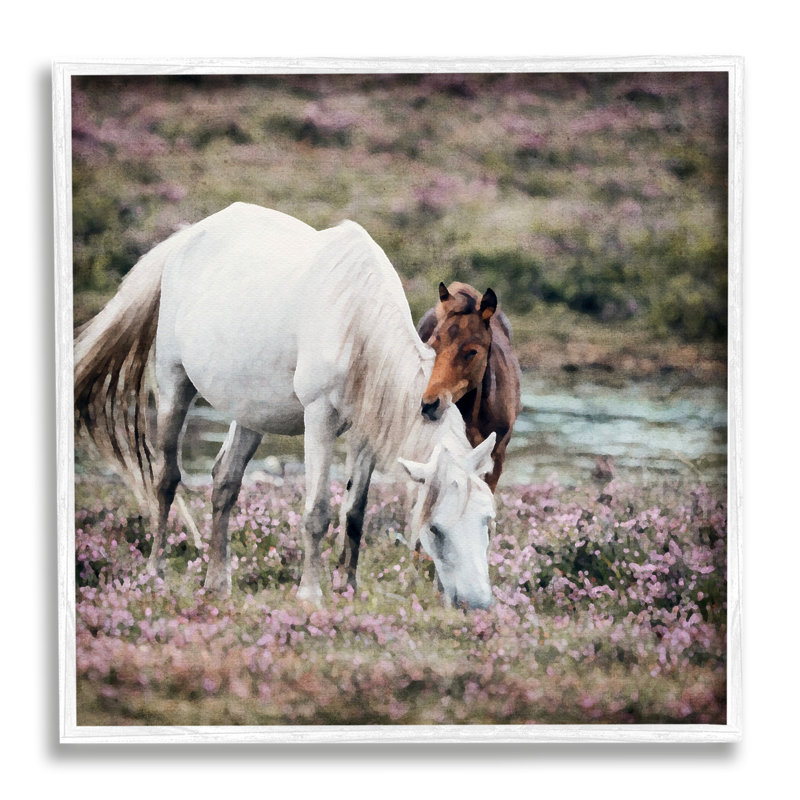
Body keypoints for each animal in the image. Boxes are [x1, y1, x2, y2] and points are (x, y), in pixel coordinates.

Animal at [74, 203, 496, 609]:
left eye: (487, 521)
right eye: (435, 529)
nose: (477, 604)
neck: (355, 320)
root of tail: (186, 238)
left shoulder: (365, 431)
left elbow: (355, 512)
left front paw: (349, 588)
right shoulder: (319, 417)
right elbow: (318, 511)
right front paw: (311, 593)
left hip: (250, 411)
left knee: (224, 482)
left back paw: (217, 583)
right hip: (173, 384)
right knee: (166, 480)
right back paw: (155, 573)